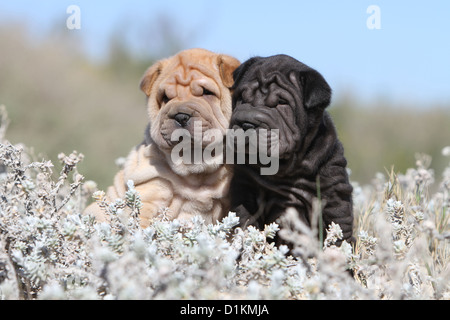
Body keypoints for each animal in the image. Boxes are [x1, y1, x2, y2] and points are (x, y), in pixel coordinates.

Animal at [230, 55, 354, 245]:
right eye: (241, 98)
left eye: (282, 103)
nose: (246, 123)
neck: (284, 168)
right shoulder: (245, 188)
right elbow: (245, 221)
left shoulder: (333, 192)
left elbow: (340, 227)